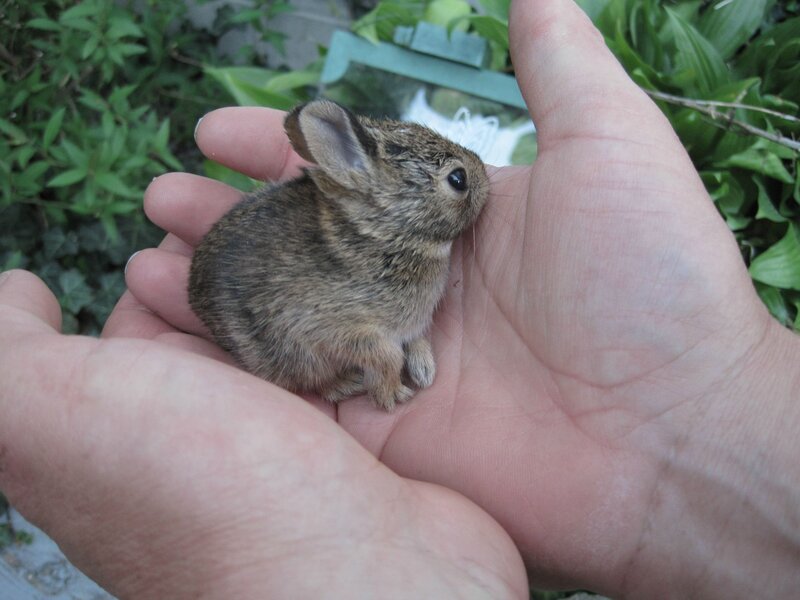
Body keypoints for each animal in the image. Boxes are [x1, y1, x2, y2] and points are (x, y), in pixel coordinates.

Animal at [188, 99, 489, 410]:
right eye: (458, 179)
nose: (483, 172)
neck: (387, 236)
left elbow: (415, 339)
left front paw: (424, 371)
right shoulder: (326, 327)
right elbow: (387, 355)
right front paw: (393, 395)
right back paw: (347, 384)